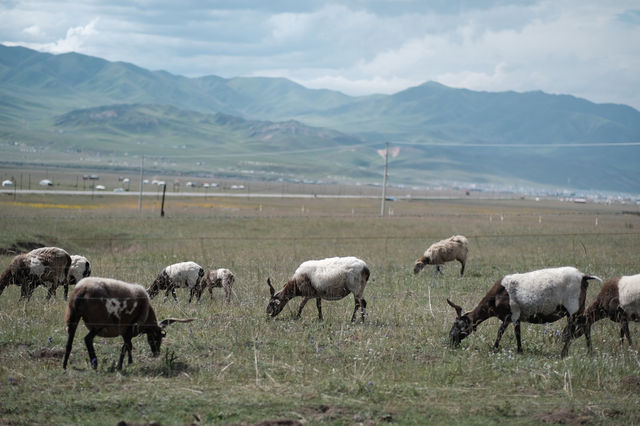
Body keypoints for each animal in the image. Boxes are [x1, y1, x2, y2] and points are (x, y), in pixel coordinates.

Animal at [62, 276, 194, 370]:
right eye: (157, 337)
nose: (157, 353)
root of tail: (81, 291)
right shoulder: (130, 327)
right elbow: (125, 347)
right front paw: (120, 366)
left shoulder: (125, 331)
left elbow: (128, 345)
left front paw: (129, 362)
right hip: (99, 323)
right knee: (88, 339)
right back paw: (95, 364)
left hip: (73, 317)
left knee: (69, 343)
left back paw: (64, 366)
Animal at [448, 266, 604, 356]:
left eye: (458, 325)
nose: (450, 341)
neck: (497, 295)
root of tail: (583, 276)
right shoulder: (517, 317)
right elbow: (517, 332)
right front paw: (519, 350)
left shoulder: (510, 314)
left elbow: (500, 332)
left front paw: (494, 348)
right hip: (579, 308)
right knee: (586, 324)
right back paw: (589, 352)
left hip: (572, 308)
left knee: (575, 328)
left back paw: (564, 353)